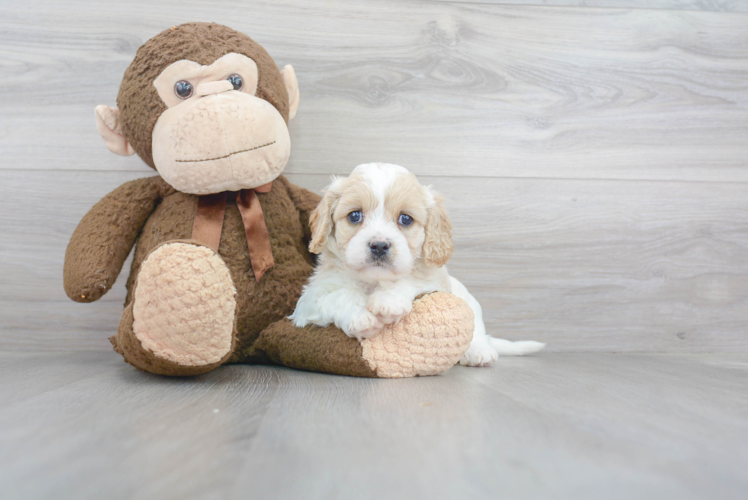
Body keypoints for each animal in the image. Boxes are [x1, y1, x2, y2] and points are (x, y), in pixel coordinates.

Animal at [290, 162, 544, 366]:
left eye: (405, 219)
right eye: (354, 216)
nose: (379, 245)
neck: (373, 281)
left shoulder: (434, 283)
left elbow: (410, 280)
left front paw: (388, 300)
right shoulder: (309, 300)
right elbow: (339, 295)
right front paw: (360, 316)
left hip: (468, 301)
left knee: (477, 328)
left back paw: (478, 351)